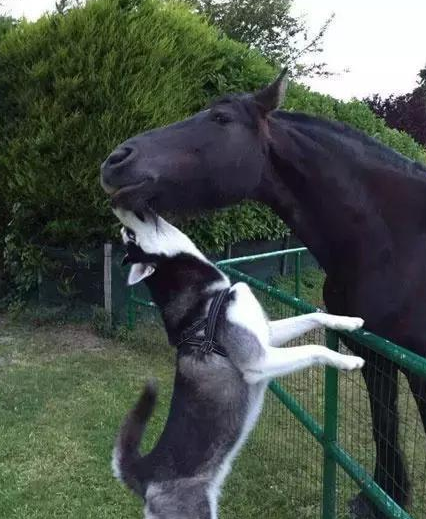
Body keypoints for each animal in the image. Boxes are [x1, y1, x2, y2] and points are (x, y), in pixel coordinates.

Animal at [101, 70, 426, 519]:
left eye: (220, 117)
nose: (114, 161)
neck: (394, 243)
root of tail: (144, 476)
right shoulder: (349, 357)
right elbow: (375, 414)